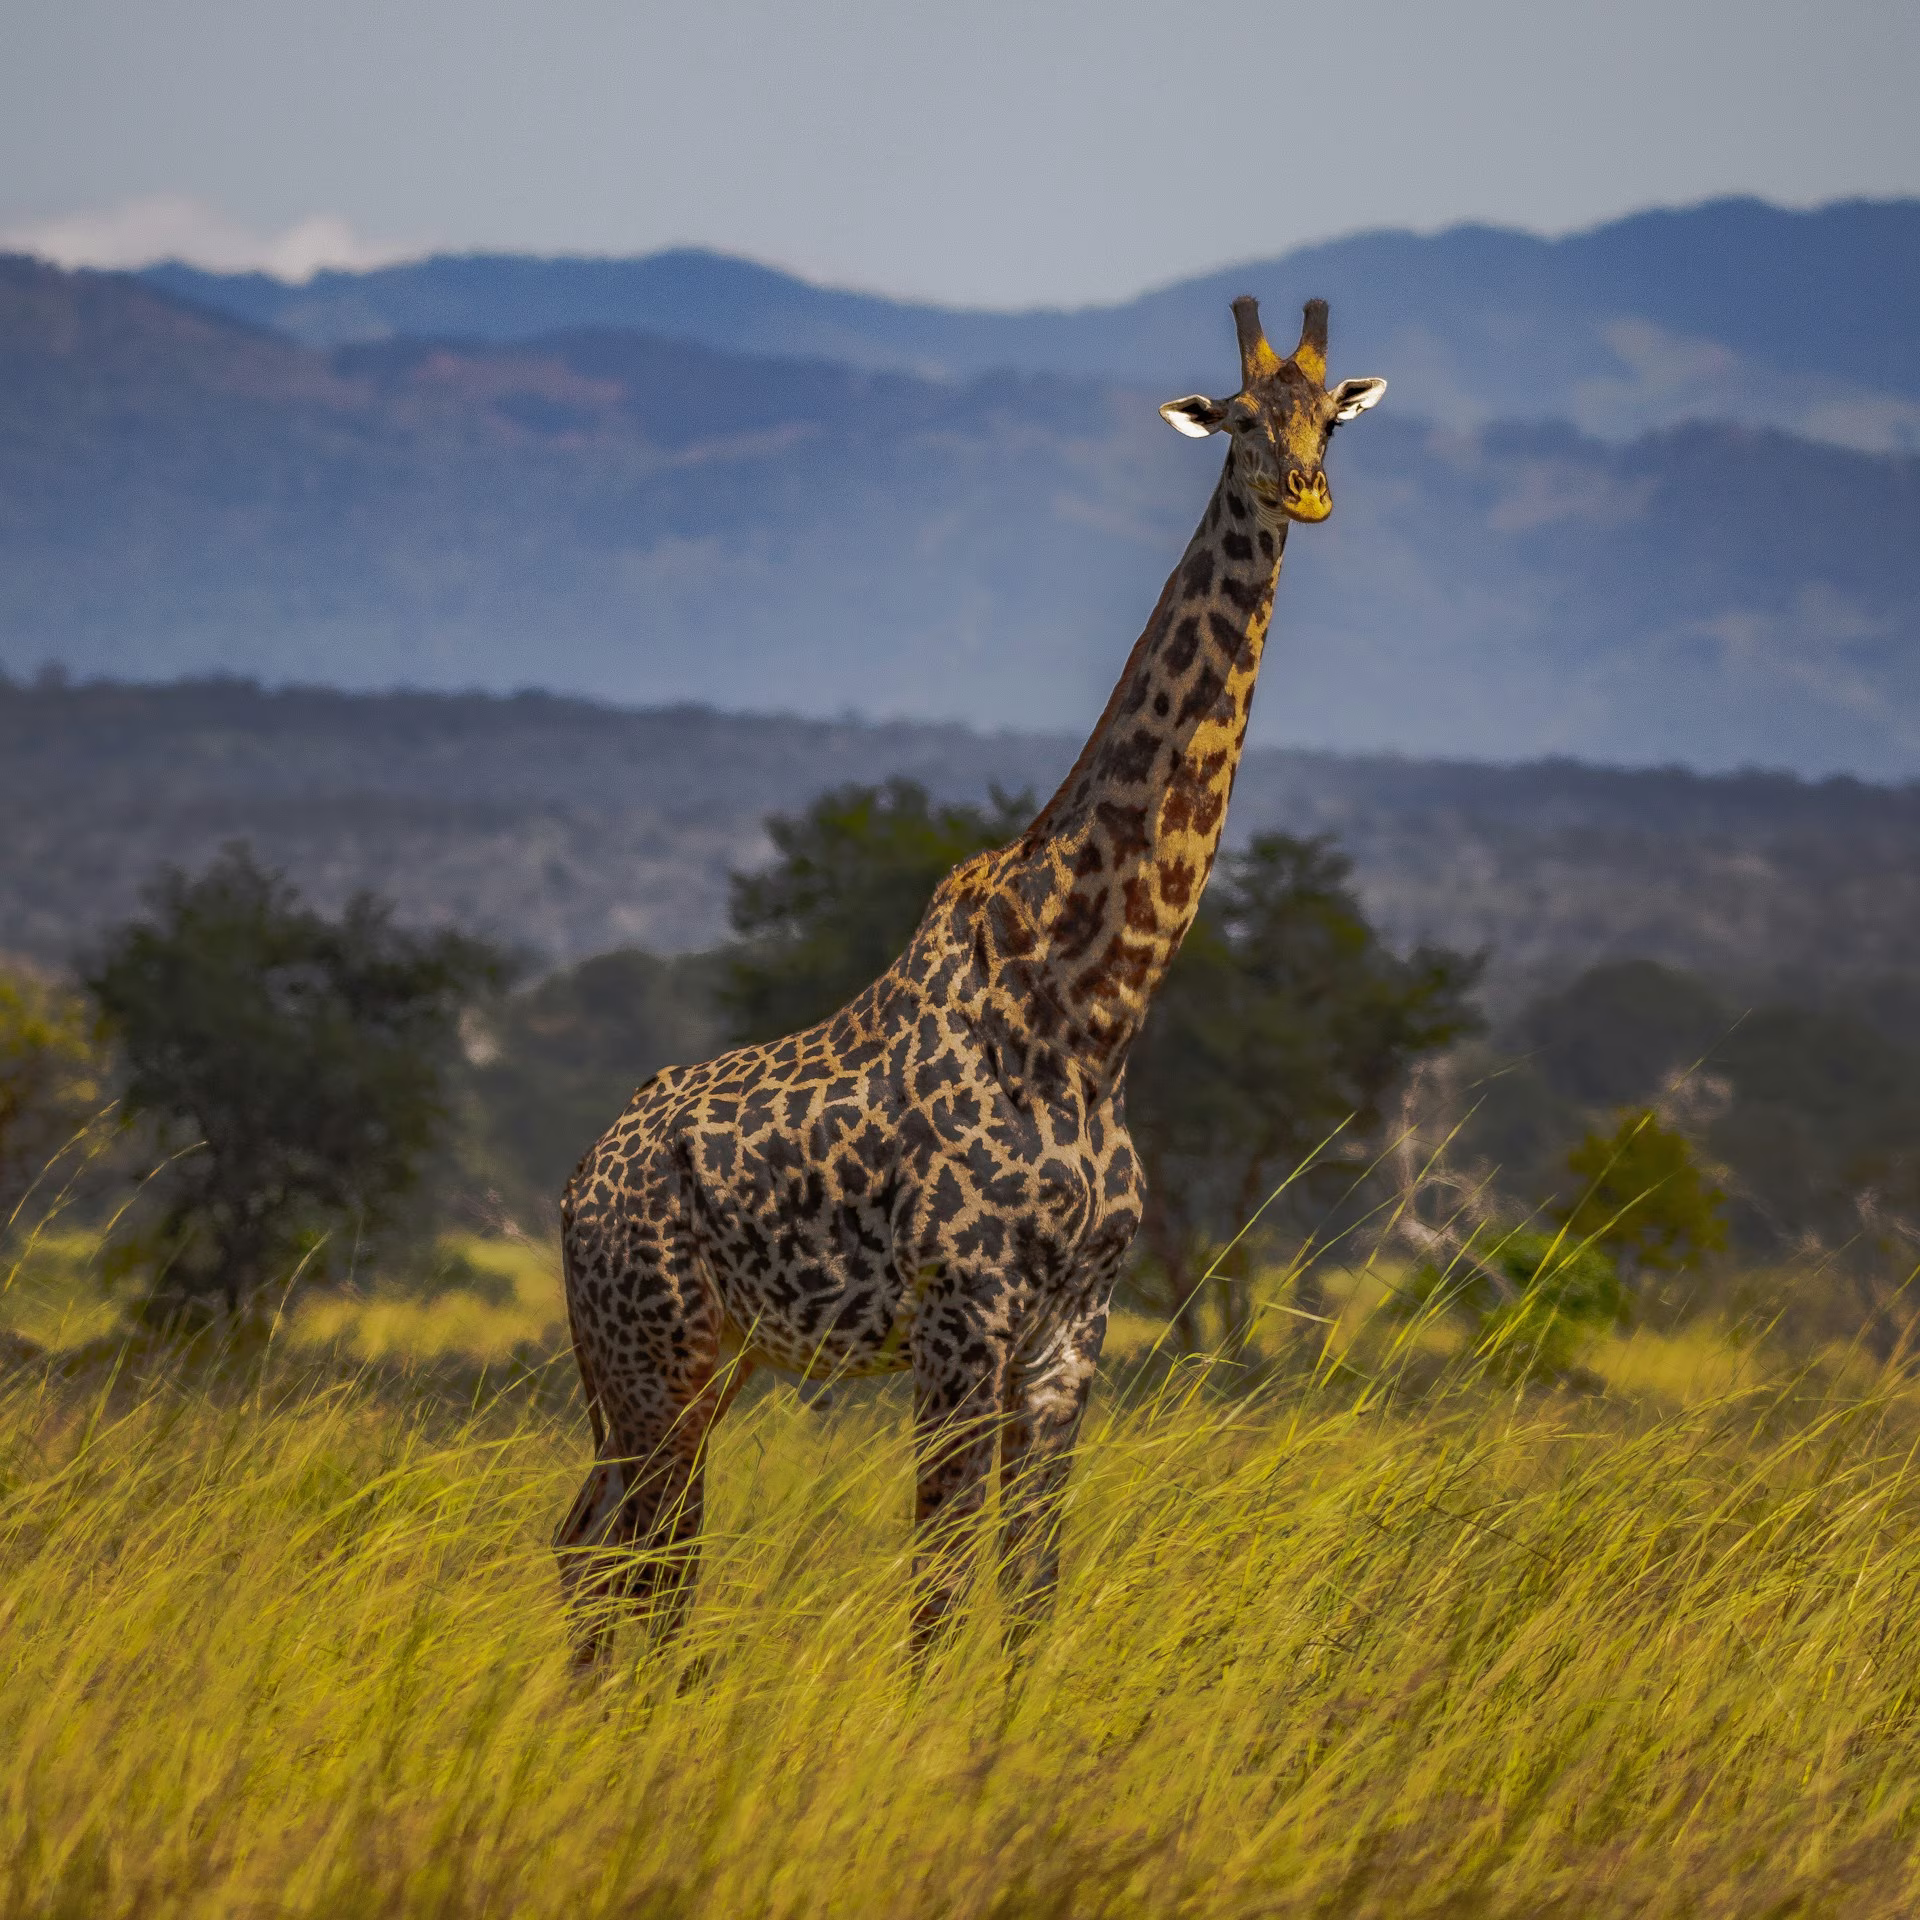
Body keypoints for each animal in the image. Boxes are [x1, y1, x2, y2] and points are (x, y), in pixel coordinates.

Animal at [556, 296, 1387, 1660]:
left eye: (1331, 418)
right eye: (1238, 420)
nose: (1306, 493)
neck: (1090, 1012)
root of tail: (577, 1186)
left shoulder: (1069, 1332)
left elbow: (1028, 1588)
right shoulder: (961, 1314)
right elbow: (938, 1594)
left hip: (689, 1363)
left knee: (600, 1550)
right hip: (653, 1358)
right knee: (639, 1563)